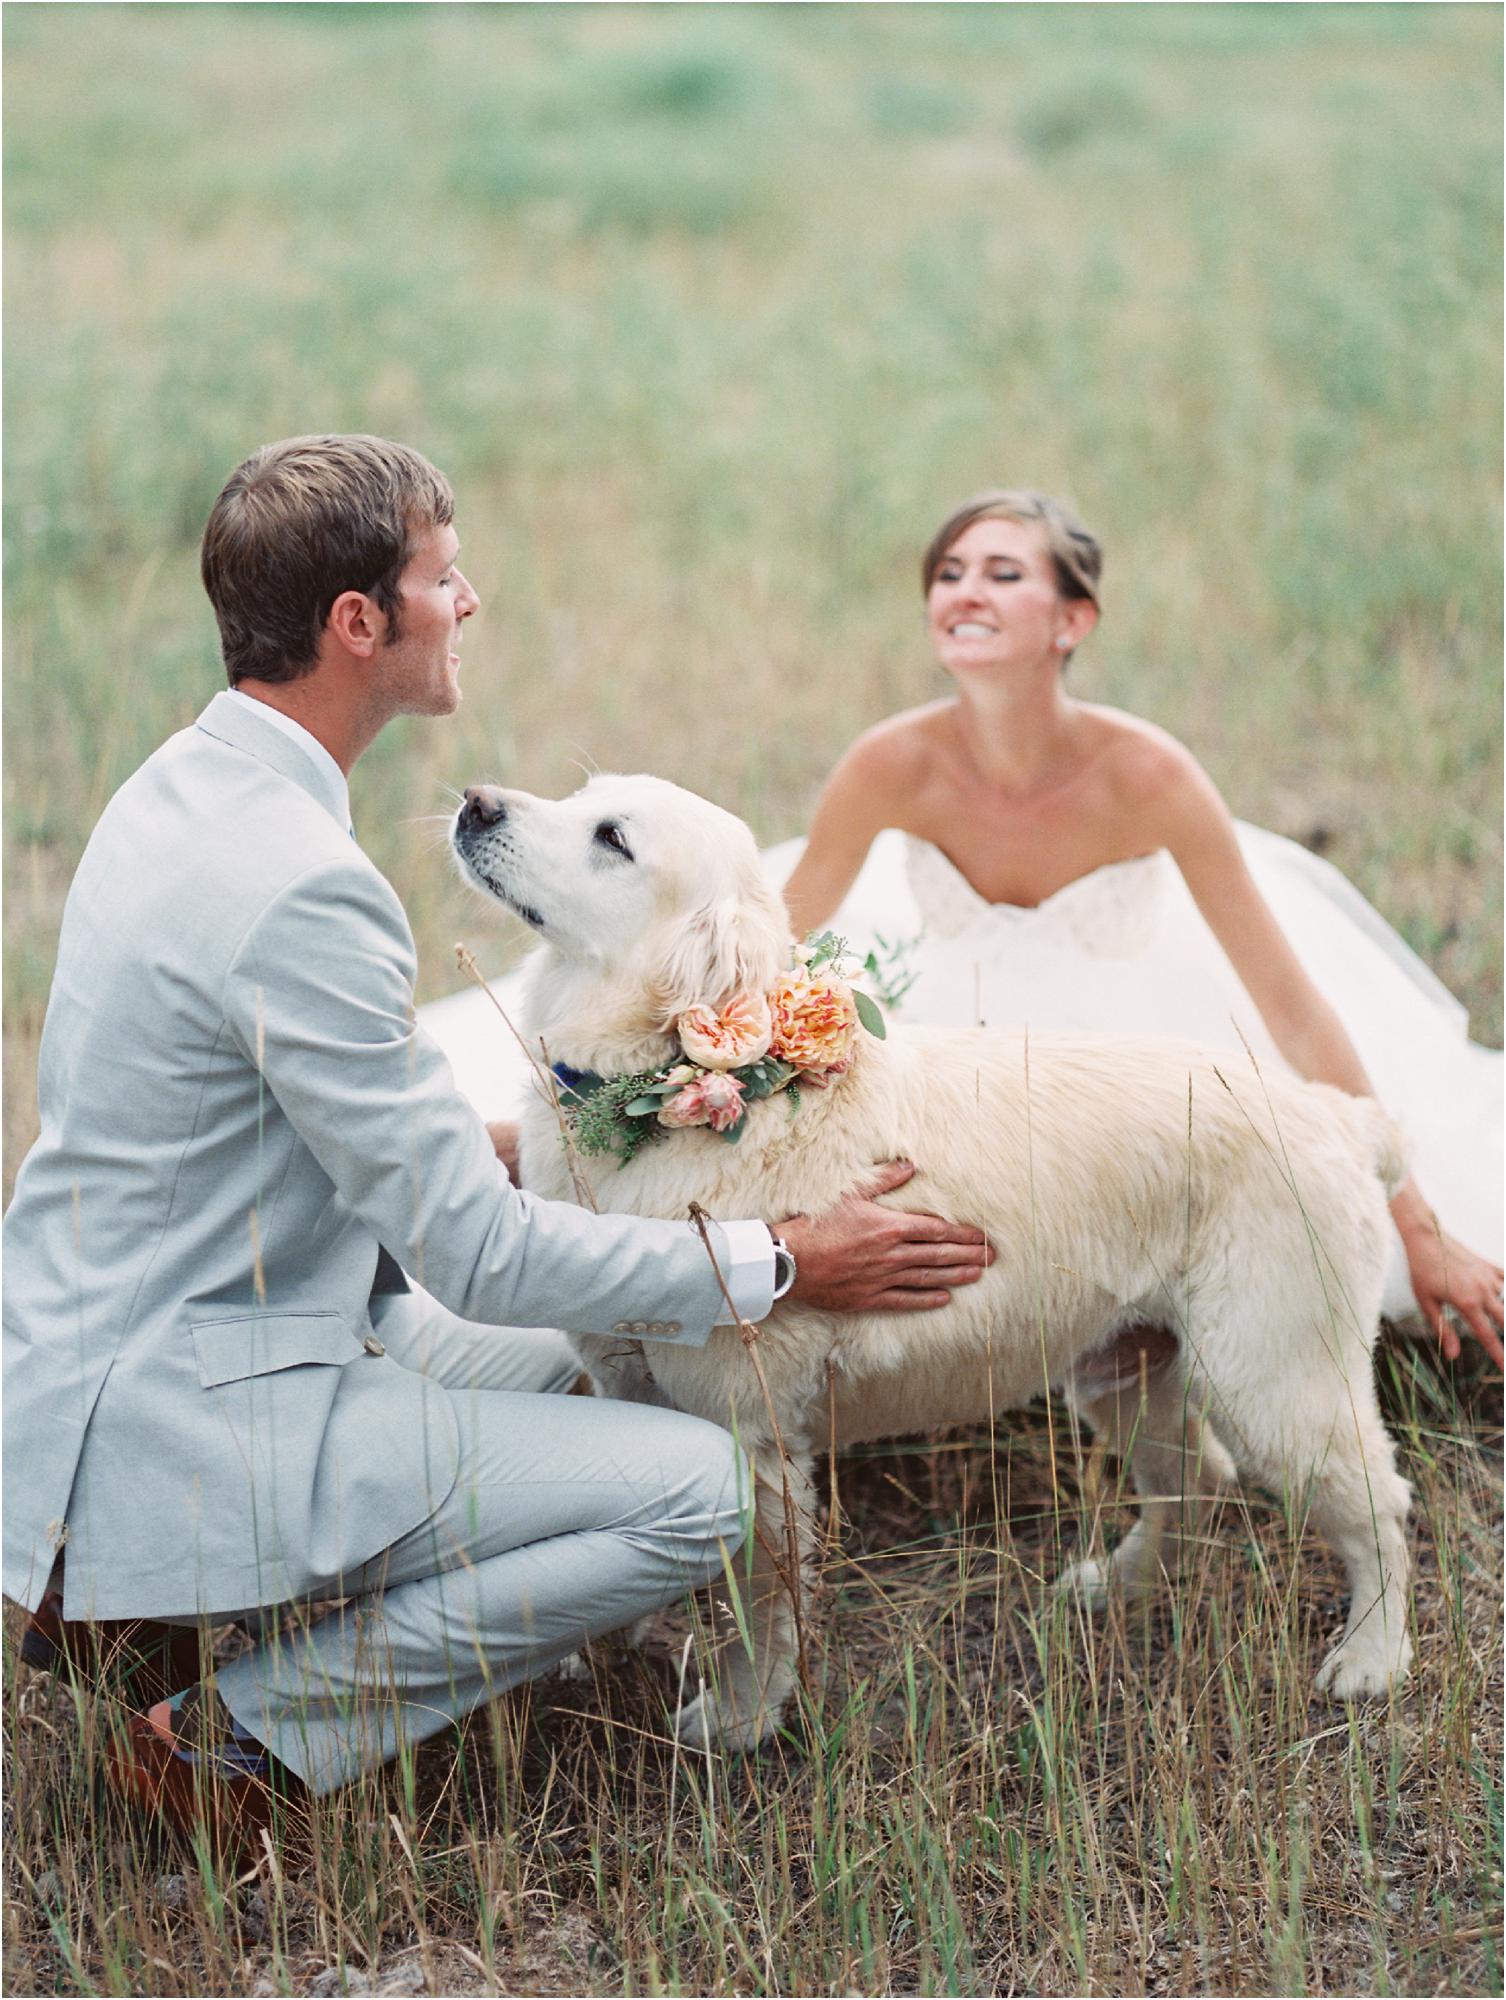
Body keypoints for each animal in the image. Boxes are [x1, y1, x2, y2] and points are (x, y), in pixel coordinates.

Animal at [450, 772, 1408, 1744]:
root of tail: (1337, 1114)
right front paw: (597, 1650)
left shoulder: (750, 1439)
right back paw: (1118, 1585)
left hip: (1269, 1382)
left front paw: (741, 1717)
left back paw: (1372, 1656)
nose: (475, 803)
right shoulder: (627, 1386)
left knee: (1379, 1508)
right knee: (1195, 1480)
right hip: (1125, 1368)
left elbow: (762, 1609)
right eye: (582, 795)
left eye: (612, 837)